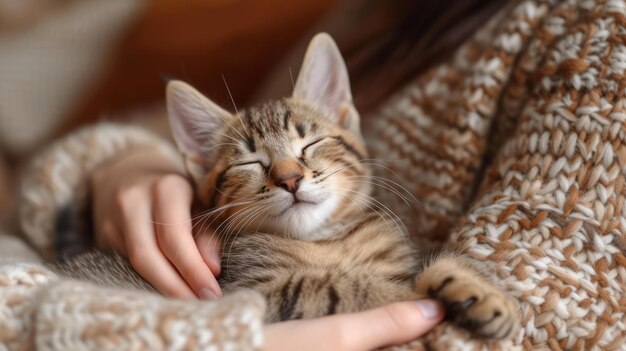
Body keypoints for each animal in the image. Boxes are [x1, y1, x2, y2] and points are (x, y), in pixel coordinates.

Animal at [51, 33, 516, 340]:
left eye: (309, 144)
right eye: (250, 162)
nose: (290, 179)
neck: (326, 243)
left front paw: (474, 288)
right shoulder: (241, 297)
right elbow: (337, 286)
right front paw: (412, 294)